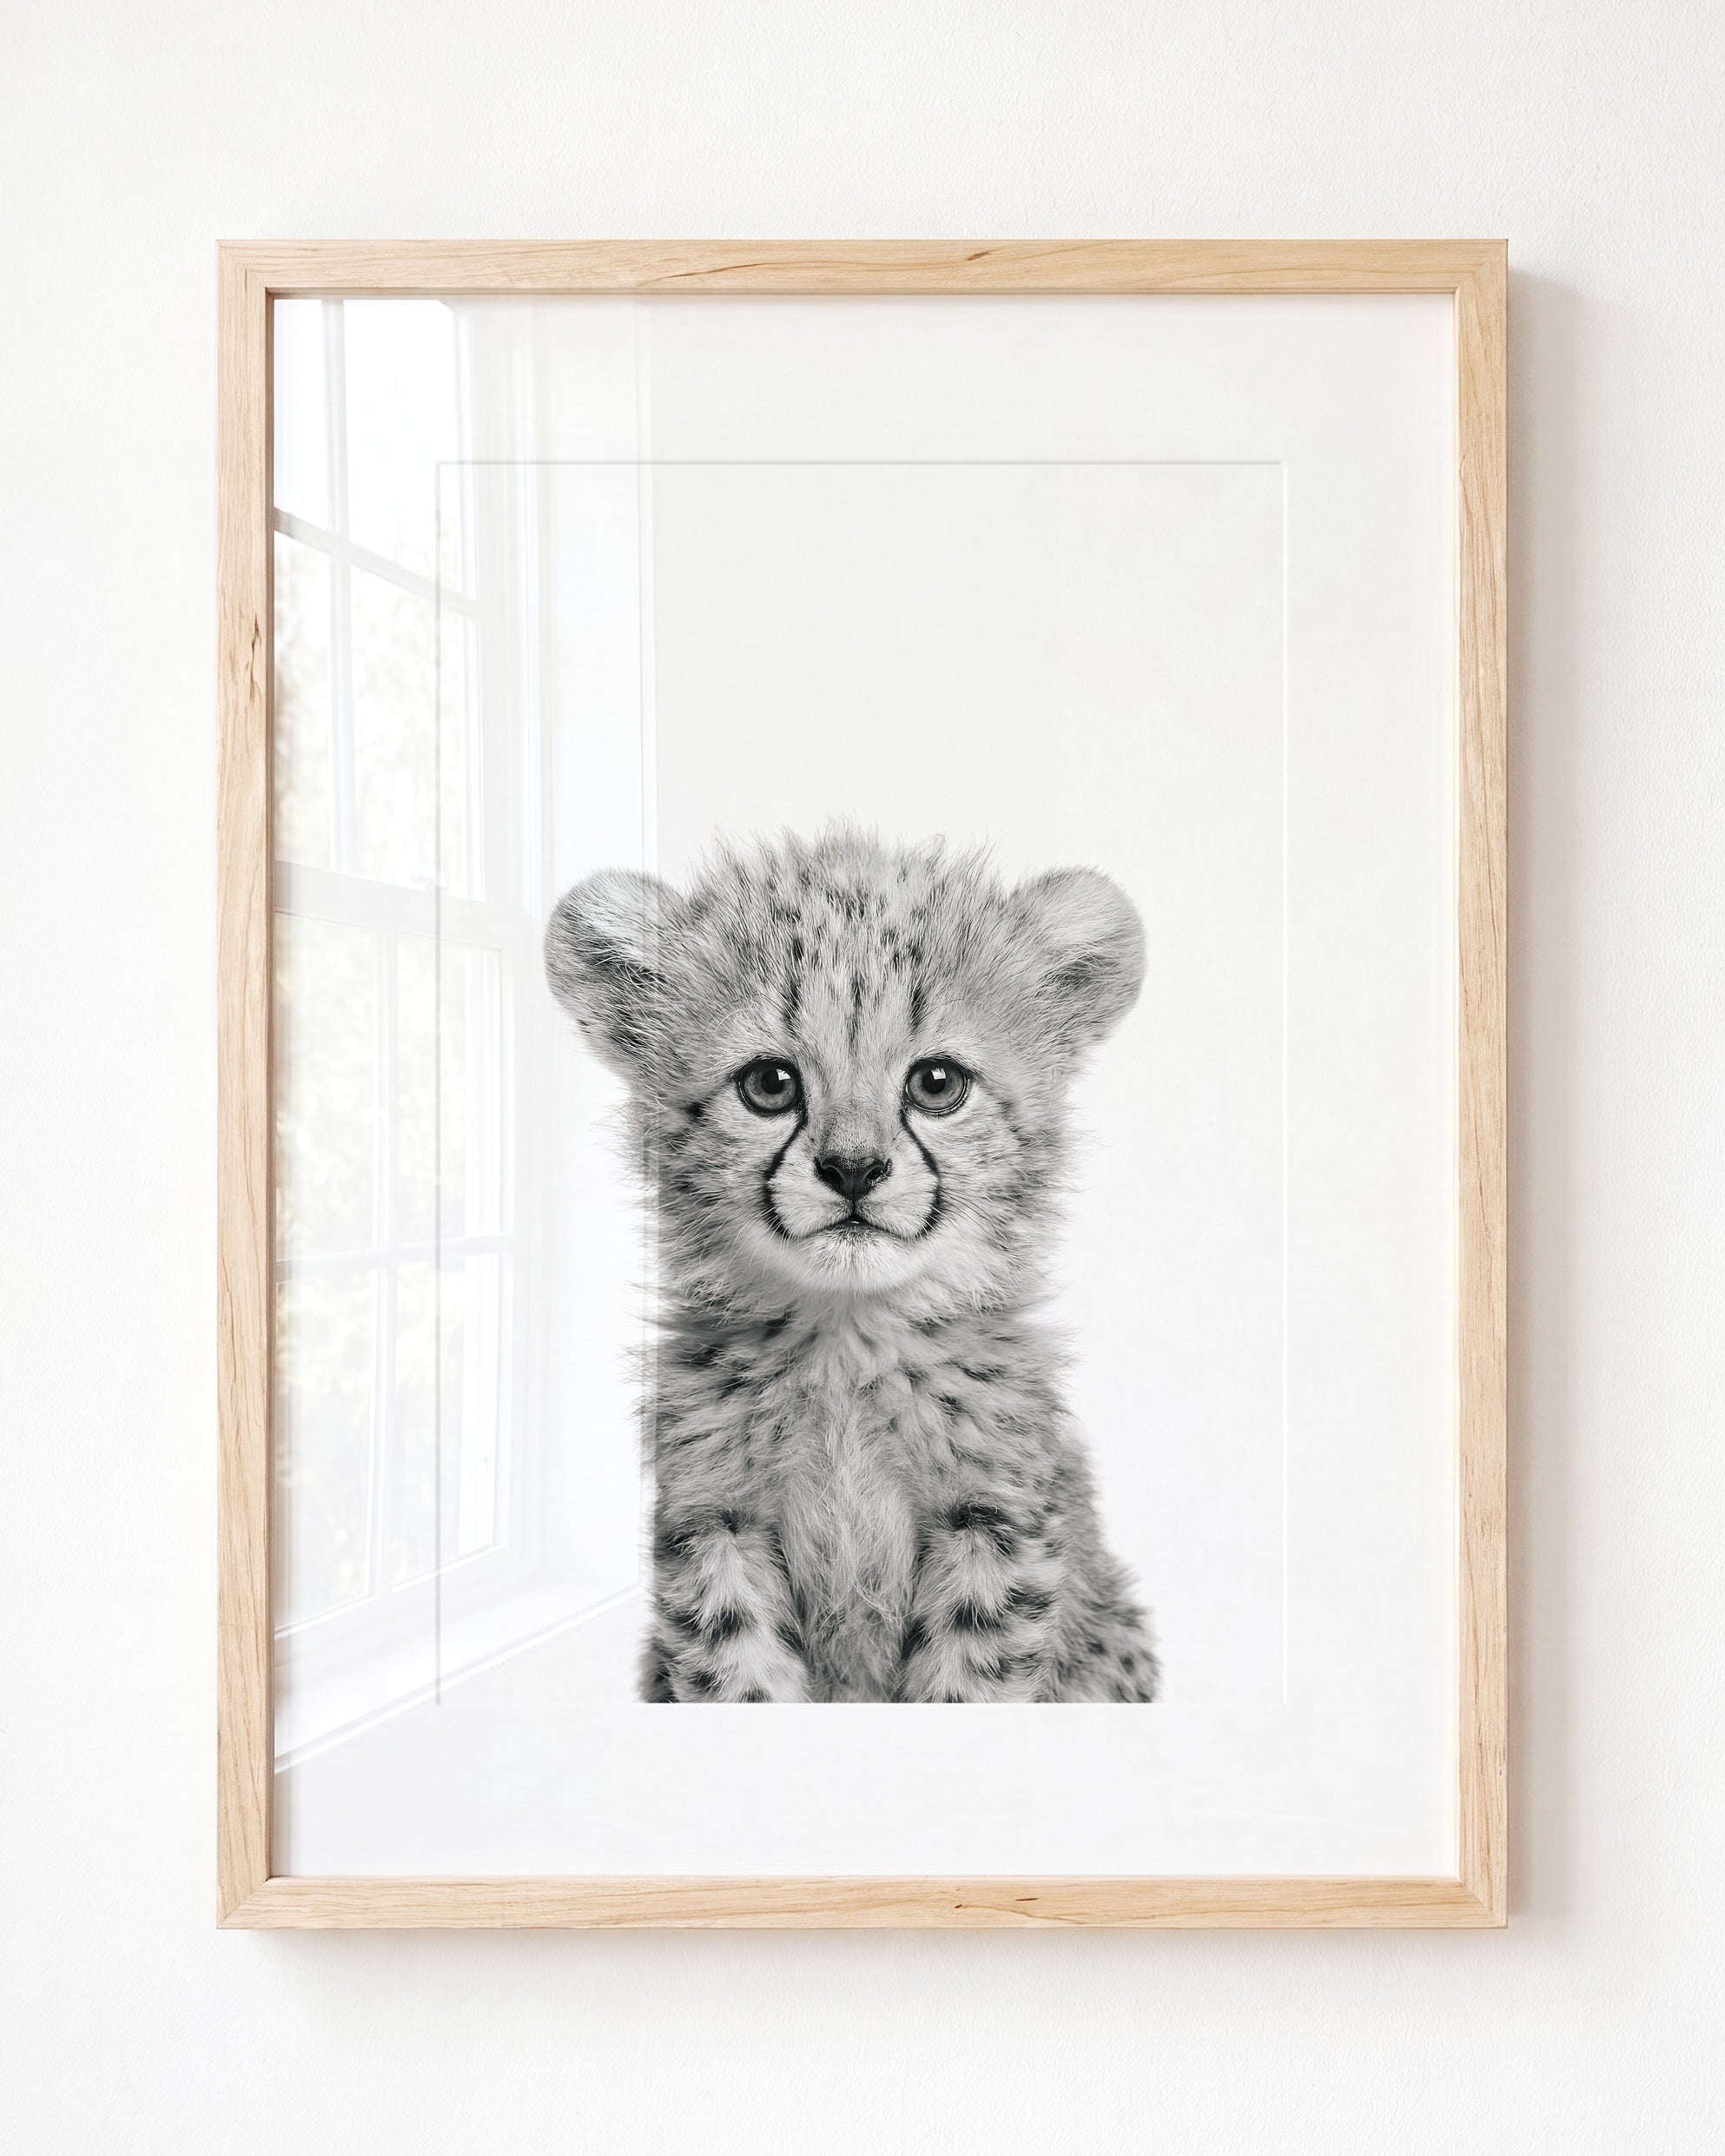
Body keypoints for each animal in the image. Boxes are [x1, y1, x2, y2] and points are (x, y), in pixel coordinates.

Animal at [544, 826, 1159, 1703]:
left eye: (937, 1083)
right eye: (769, 1084)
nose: (854, 1169)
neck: (847, 1340)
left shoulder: (994, 1524)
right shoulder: (715, 1525)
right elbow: (741, 1675)